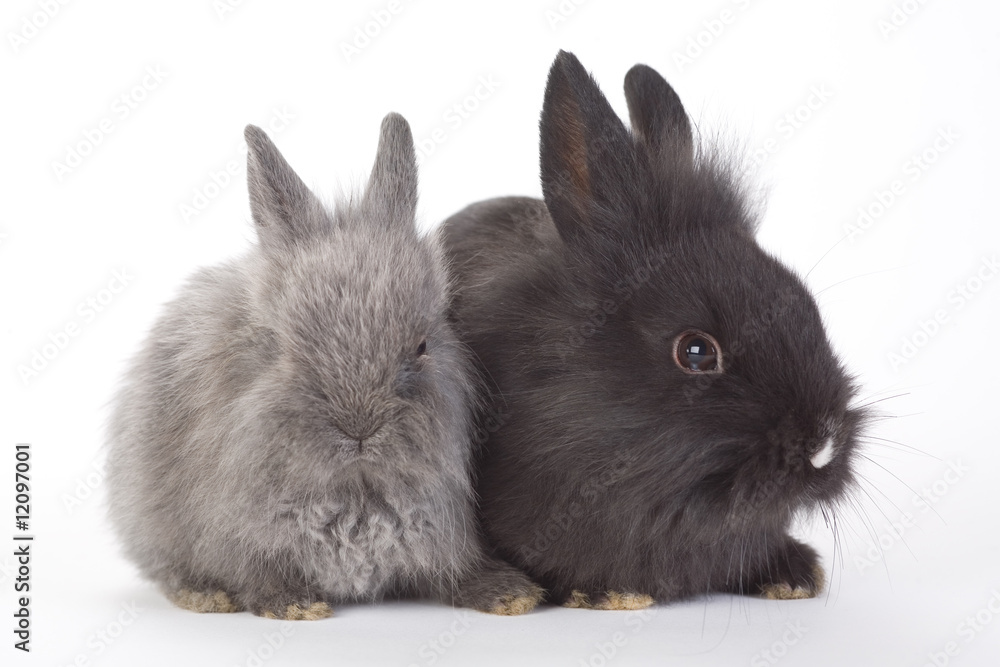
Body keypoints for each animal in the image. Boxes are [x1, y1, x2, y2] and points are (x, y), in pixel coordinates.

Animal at [105, 113, 542, 620]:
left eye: (421, 345)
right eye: (282, 346)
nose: (360, 431)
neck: (355, 491)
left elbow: (457, 573)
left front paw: (511, 595)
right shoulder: (232, 535)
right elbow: (254, 574)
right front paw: (294, 606)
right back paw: (204, 596)